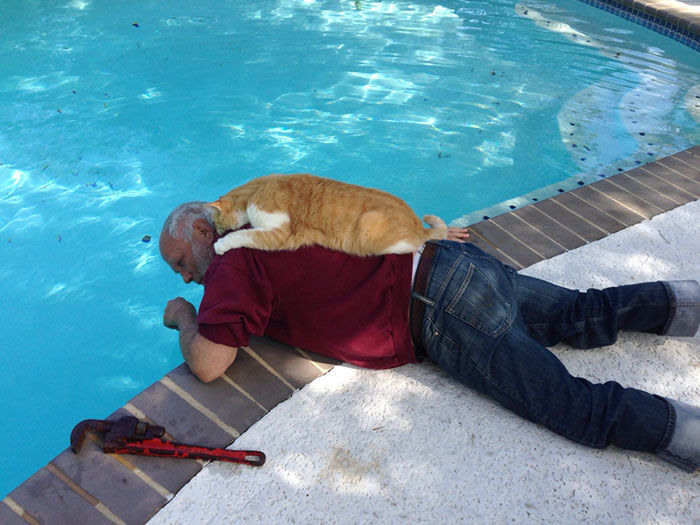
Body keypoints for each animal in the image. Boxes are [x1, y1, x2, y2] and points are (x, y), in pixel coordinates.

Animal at [209, 174, 448, 256]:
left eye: (216, 224)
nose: (216, 231)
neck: (256, 190)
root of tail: (419, 225)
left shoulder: (280, 233)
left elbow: (243, 235)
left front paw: (221, 244)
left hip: (368, 230)